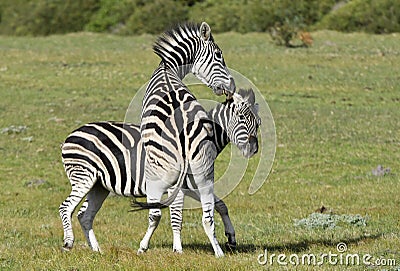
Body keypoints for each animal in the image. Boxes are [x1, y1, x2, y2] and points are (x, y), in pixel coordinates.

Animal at [58, 88, 260, 255]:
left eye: (258, 123)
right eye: (241, 119)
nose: (254, 149)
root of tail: (71, 134)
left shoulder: (192, 186)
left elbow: (221, 205)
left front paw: (231, 237)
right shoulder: (176, 187)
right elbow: (176, 216)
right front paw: (177, 249)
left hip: (99, 186)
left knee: (85, 215)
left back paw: (96, 250)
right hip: (83, 177)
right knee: (66, 207)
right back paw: (69, 243)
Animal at [138, 20, 238, 258]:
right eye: (219, 55)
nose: (232, 87)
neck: (168, 68)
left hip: (168, 167)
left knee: (168, 208)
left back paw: (171, 247)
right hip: (203, 168)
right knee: (207, 213)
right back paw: (218, 250)